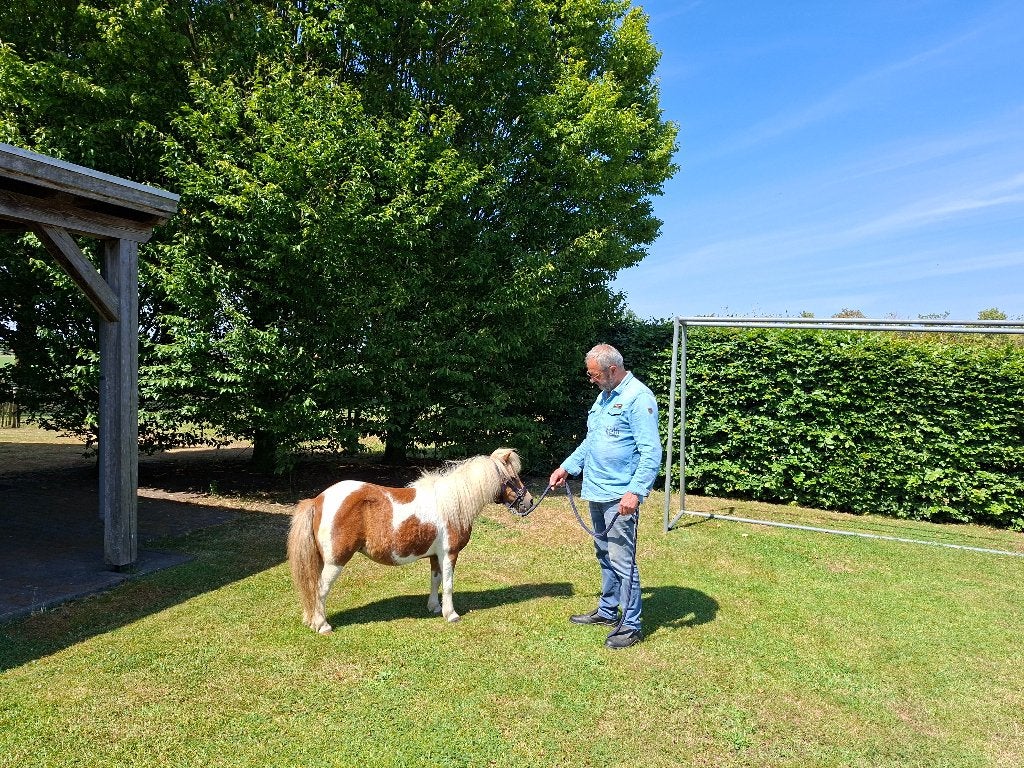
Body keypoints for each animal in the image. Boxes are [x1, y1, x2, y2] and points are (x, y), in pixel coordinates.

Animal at [287, 447, 533, 633]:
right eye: (512, 478)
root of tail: (317, 500)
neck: (453, 503)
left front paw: (434, 607)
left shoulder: (435, 556)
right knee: (320, 589)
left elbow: (436, 580)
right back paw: (323, 625)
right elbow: (449, 584)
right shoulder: (450, 554)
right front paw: (451, 614)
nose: (529, 502)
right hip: (335, 561)